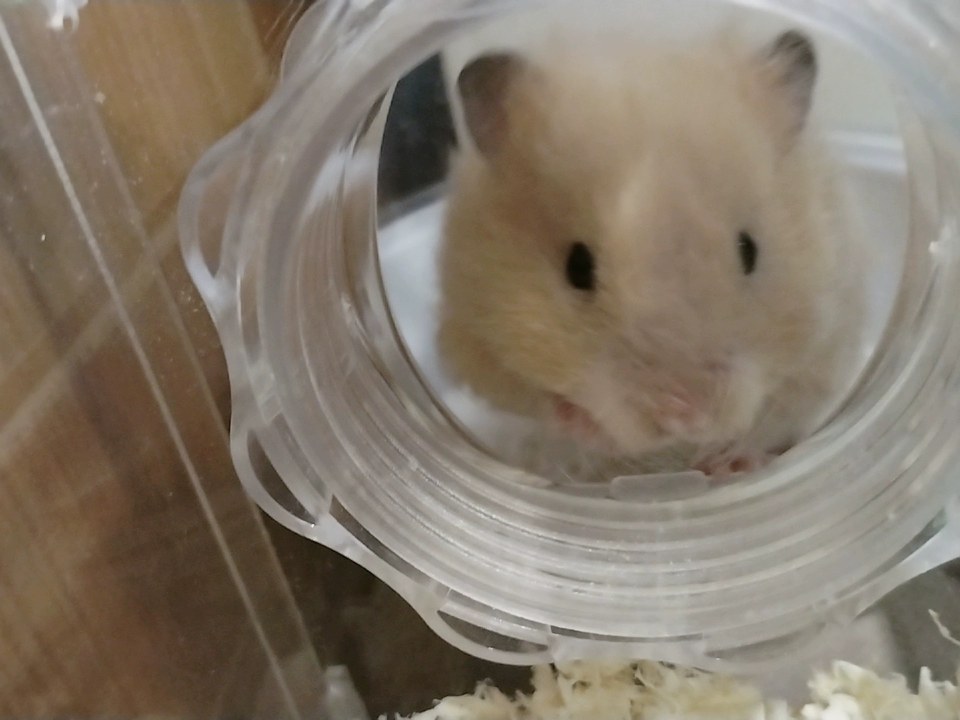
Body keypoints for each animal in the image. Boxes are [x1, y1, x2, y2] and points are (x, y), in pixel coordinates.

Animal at [437, 29, 868, 478]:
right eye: (577, 268)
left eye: (749, 250)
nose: (683, 413)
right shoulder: (473, 342)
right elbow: (540, 402)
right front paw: (584, 424)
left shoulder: (828, 345)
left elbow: (778, 411)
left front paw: (729, 461)